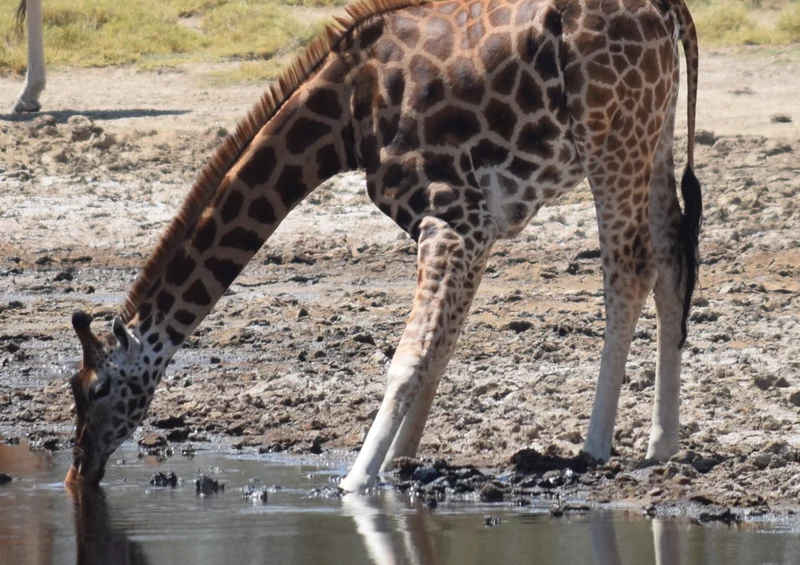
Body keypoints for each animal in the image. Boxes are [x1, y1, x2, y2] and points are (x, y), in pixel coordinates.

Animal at [63, 0, 702, 491]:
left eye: (95, 390)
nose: (77, 470)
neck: (343, 118)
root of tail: (668, 9)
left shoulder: (451, 216)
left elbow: (409, 356)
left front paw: (356, 479)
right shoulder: (480, 224)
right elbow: (440, 347)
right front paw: (401, 460)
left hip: (611, 137)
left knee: (629, 268)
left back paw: (596, 446)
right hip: (655, 129)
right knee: (673, 258)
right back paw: (662, 444)